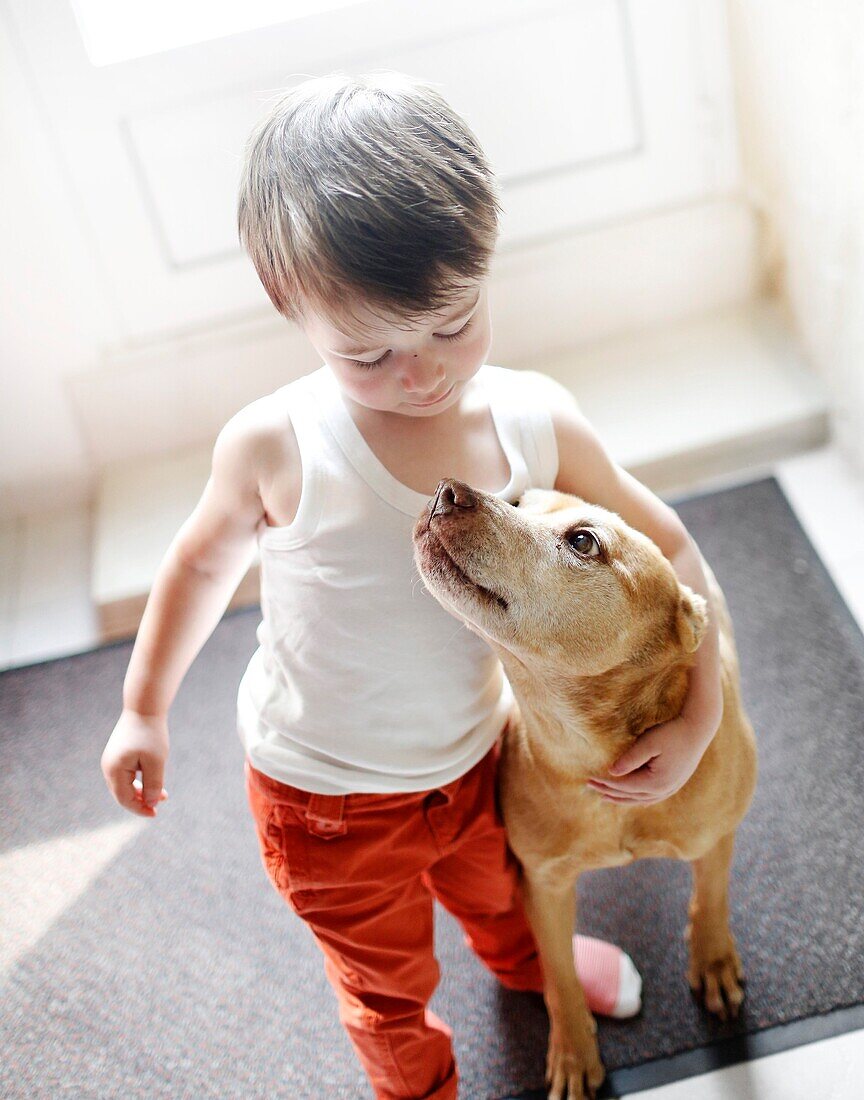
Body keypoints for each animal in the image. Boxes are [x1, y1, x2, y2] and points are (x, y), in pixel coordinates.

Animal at [411, 477, 757, 1100]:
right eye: (518, 503)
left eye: (582, 541)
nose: (448, 490)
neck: (588, 751)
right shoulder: (542, 884)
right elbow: (559, 973)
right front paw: (573, 1051)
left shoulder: (717, 836)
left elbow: (712, 896)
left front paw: (714, 960)